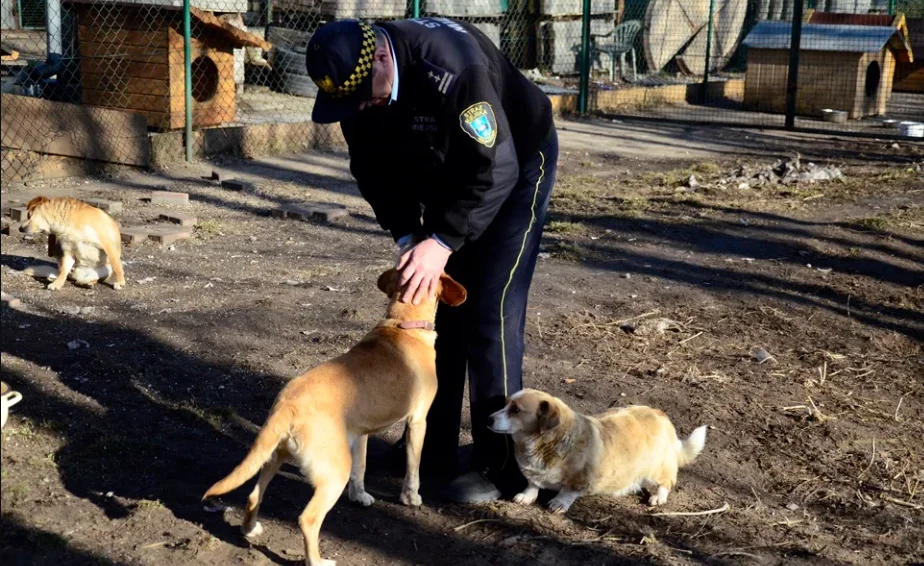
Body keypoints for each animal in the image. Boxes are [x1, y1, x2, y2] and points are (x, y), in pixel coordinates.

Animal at [205, 270, 470, 566]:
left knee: (253, 496)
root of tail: (288, 405)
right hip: (332, 475)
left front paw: (359, 496)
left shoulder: (361, 433)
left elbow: (361, 468)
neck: (402, 325)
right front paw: (411, 497)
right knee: (308, 520)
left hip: (273, 457)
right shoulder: (418, 421)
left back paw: (250, 530)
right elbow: (413, 467)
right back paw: (317, 561)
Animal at [490, 390, 708, 516]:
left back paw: (658, 497)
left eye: (516, 410)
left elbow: (567, 492)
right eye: (505, 404)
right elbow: (532, 484)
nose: (488, 418)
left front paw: (559, 503)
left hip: (657, 469)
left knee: (666, 482)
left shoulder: (579, 480)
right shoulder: (533, 475)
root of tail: (660, 415)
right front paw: (527, 496)